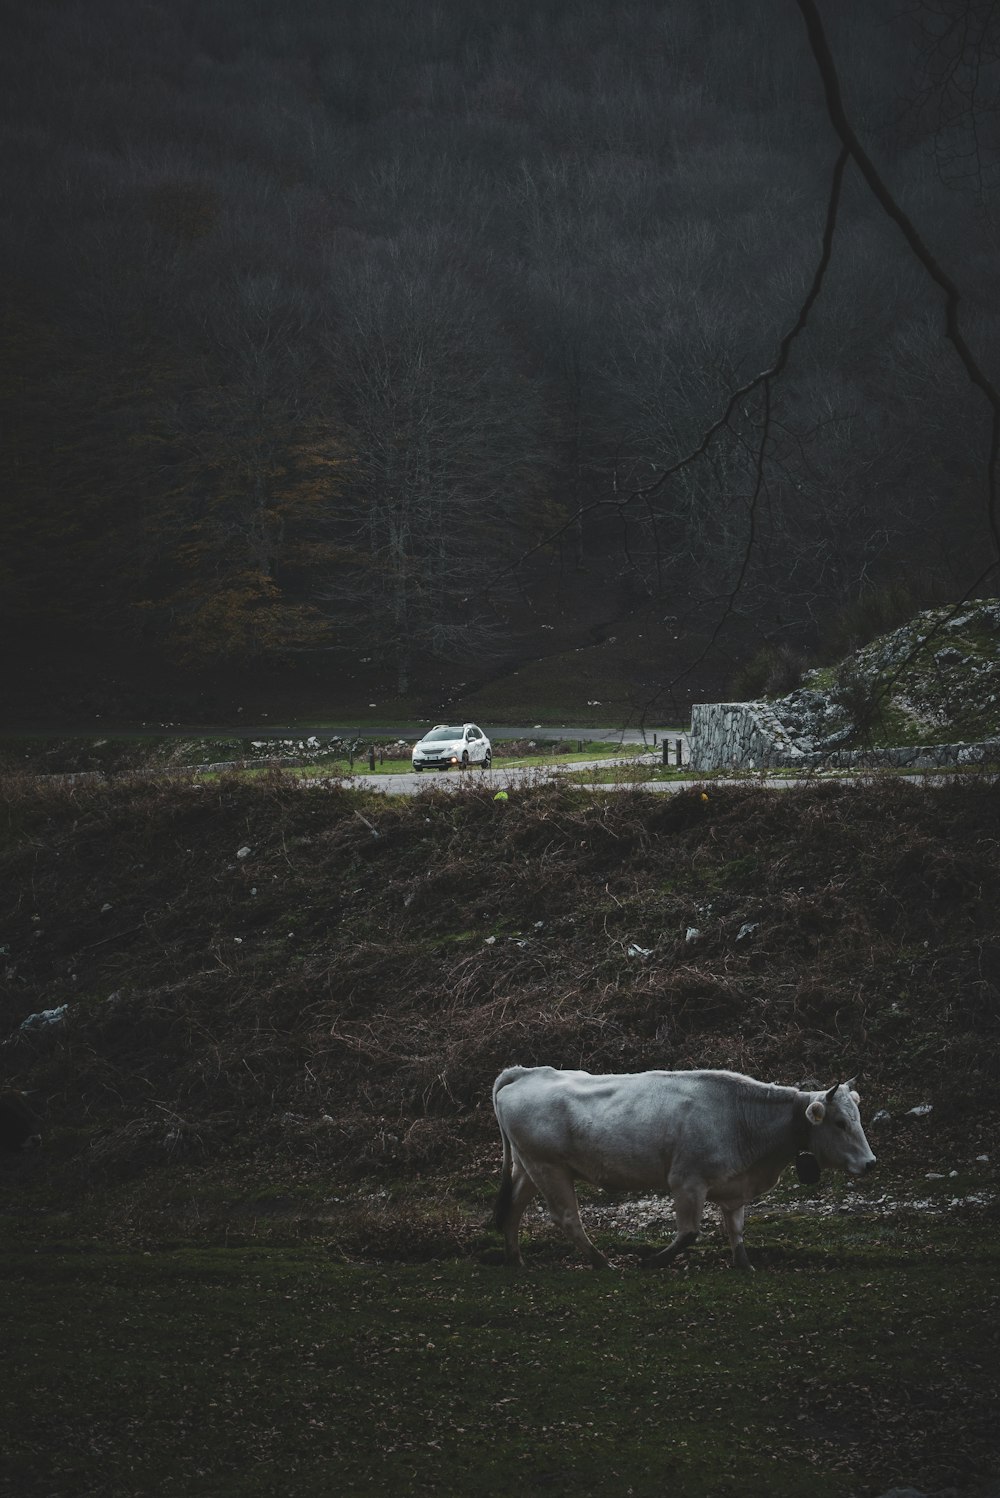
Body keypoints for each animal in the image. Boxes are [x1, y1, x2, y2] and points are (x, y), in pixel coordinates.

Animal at [491, 1066, 874, 1264]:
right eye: (840, 1122)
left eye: (857, 1117)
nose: (870, 1163)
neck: (740, 1117)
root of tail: (526, 1072)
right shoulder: (687, 1182)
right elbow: (689, 1233)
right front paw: (653, 1261)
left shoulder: (734, 1187)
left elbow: (736, 1230)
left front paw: (745, 1266)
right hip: (549, 1168)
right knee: (567, 1218)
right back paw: (602, 1261)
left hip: (530, 1168)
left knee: (513, 1208)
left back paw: (516, 1259)